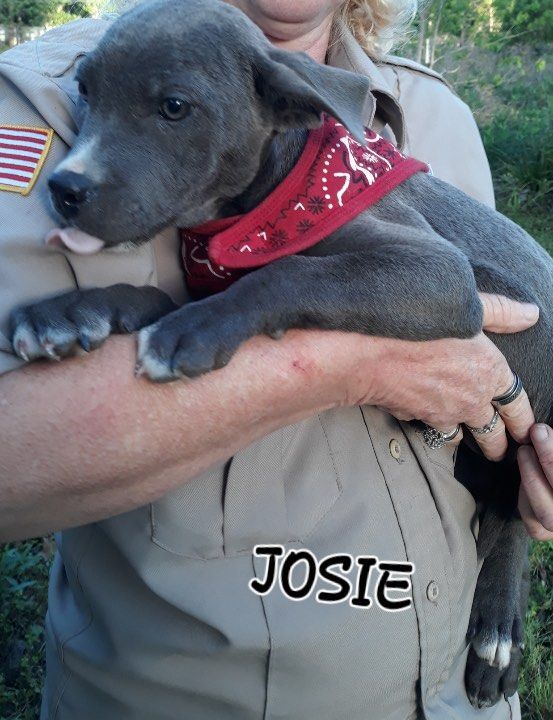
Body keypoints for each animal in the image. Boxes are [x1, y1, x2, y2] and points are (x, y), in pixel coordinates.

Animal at [9, 0, 552, 708]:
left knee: (515, 506)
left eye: (175, 106)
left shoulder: (444, 276)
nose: (65, 188)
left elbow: (288, 273)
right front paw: (70, 312)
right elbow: (159, 296)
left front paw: (195, 331)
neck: (272, 199)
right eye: (85, 93)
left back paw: (495, 634)